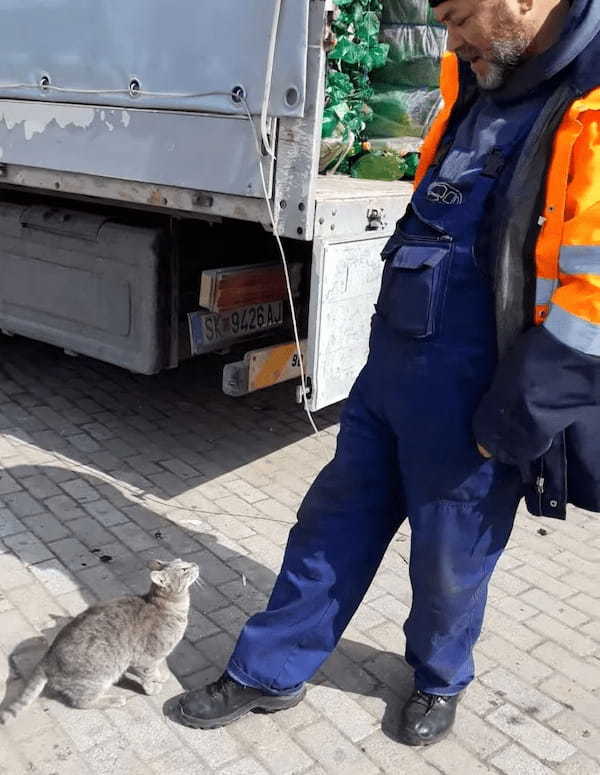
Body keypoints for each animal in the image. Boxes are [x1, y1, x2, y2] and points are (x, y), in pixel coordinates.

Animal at [0, 560, 200, 724]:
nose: (195, 564)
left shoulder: (154, 657)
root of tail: (47, 658)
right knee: (81, 702)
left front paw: (161, 675)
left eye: (183, 561)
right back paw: (113, 700)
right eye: (184, 569)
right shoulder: (145, 658)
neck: (172, 608)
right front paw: (152, 687)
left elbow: (159, 667)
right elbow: (148, 676)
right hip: (100, 678)